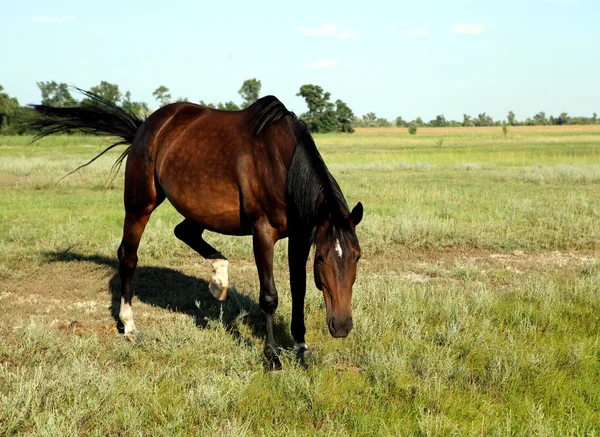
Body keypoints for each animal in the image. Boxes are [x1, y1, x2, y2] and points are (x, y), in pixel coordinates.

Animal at [30, 90, 364, 362]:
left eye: (357, 257)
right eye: (322, 259)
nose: (342, 326)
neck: (281, 164)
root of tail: (145, 126)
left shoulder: (301, 235)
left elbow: (299, 291)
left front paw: (301, 347)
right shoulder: (263, 233)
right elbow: (269, 296)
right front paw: (272, 356)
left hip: (196, 207)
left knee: (184, 232)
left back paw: (219, 277)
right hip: (140, 204)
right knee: (128, 256)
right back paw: (129, 324)